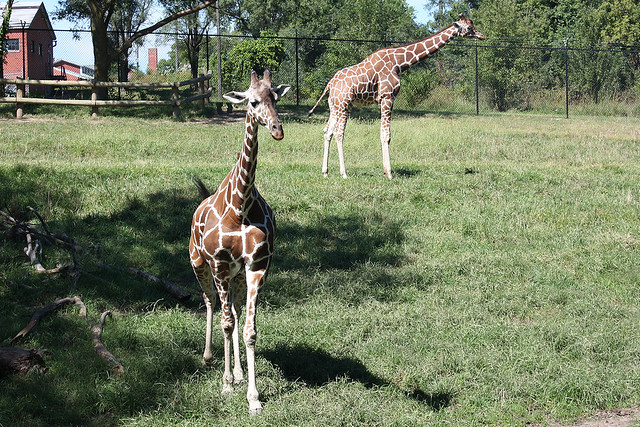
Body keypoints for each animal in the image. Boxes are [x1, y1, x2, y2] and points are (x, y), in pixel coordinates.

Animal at [189, 70, 290, 414]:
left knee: (230, 307)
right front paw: (225, 384)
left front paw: (253, 396)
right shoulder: (219, 263)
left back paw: (239, 372)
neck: (240, 205)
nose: (277, 130)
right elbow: (227, 323)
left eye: (276, 97)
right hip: (199, 263)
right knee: (211, 302)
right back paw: (210, 359)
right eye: (253, 101)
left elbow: (248, 330)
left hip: (234, 275)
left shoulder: (256, 266)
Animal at [307, 14, 485, 179]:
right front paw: (389, 173)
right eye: (469, 28)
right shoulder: (388, 97)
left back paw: (325, 172)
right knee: (339, 133)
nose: (482, 35)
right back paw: (344, 173)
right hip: (344, 105)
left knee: (327, 131)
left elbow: (382, 133)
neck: (399, 63)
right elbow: (386, 136)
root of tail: (330, 84)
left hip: (335, 106)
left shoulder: (383, 100)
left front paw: (386, 170)